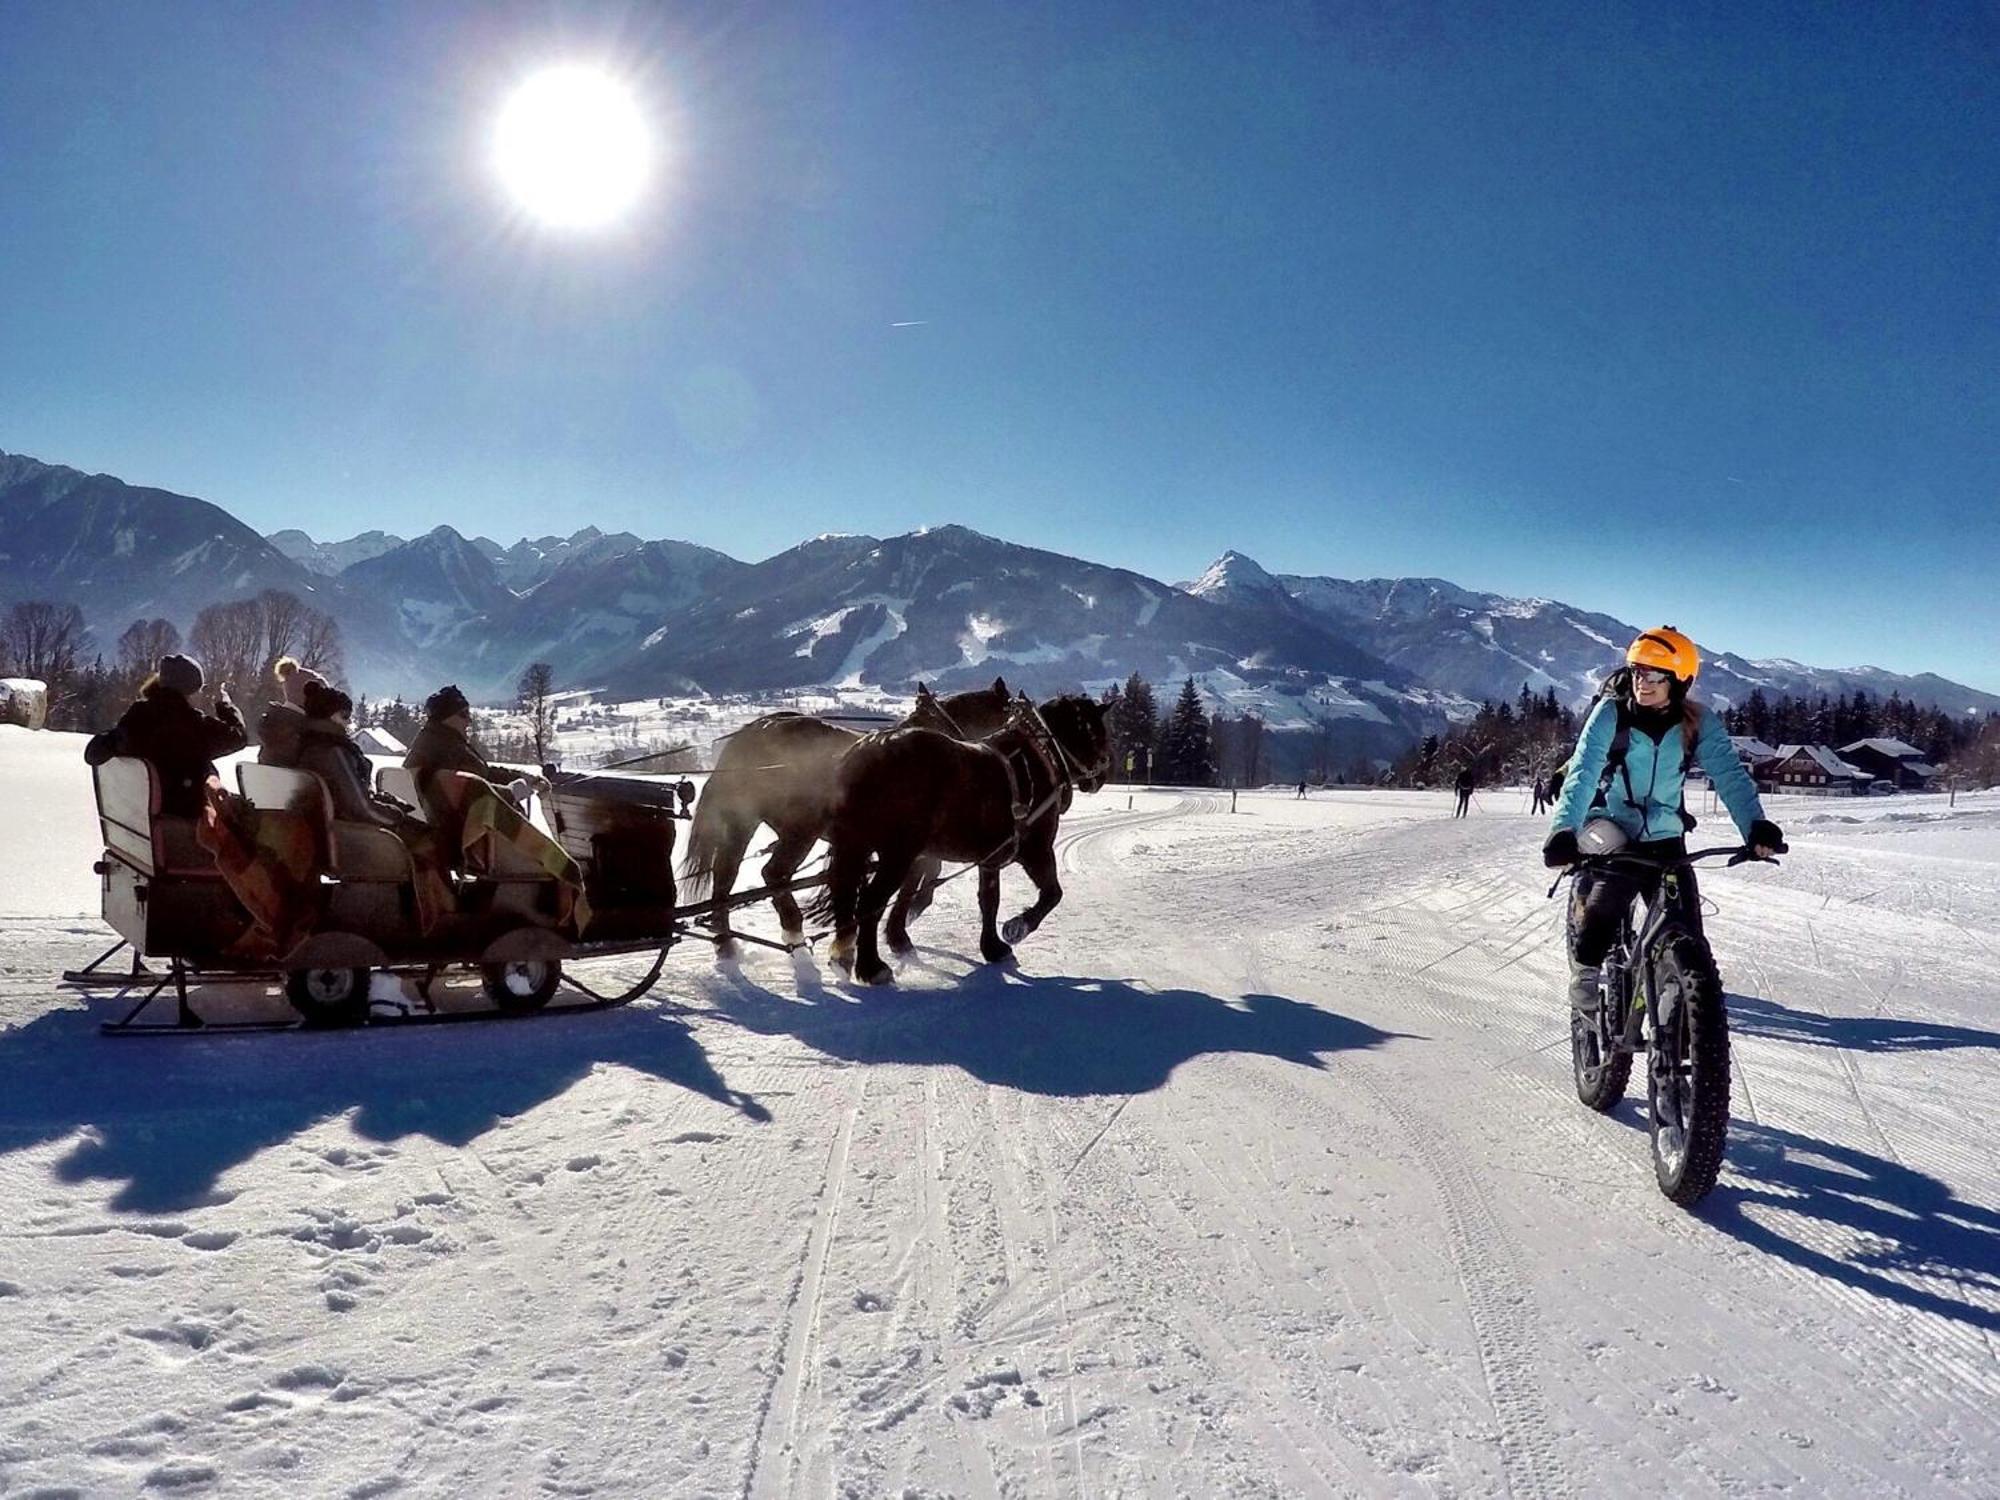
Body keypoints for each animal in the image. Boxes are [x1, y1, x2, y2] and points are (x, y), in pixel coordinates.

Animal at [680, 680, 1016, 952]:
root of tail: (755, 730)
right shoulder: (910, 843)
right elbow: (916, 879)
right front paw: (900, 928)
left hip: (747, 821)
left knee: (727, 875)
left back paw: (725, 937)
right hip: (800, 831)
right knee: (772, 873)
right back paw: (791, 925)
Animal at [820, 696, 1120, 988]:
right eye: (1097, 733)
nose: (1104, 774)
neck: (1036, 760)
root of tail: (867, 749)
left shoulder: (990, 858)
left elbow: (989, 900)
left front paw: (993, 947)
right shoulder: (1037, 849)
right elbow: (1052, 893)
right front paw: (1016, 928)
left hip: (855, 845)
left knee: (844, 893)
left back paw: (844, 956)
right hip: (896, 854)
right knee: (869, 902)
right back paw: (872, 967)